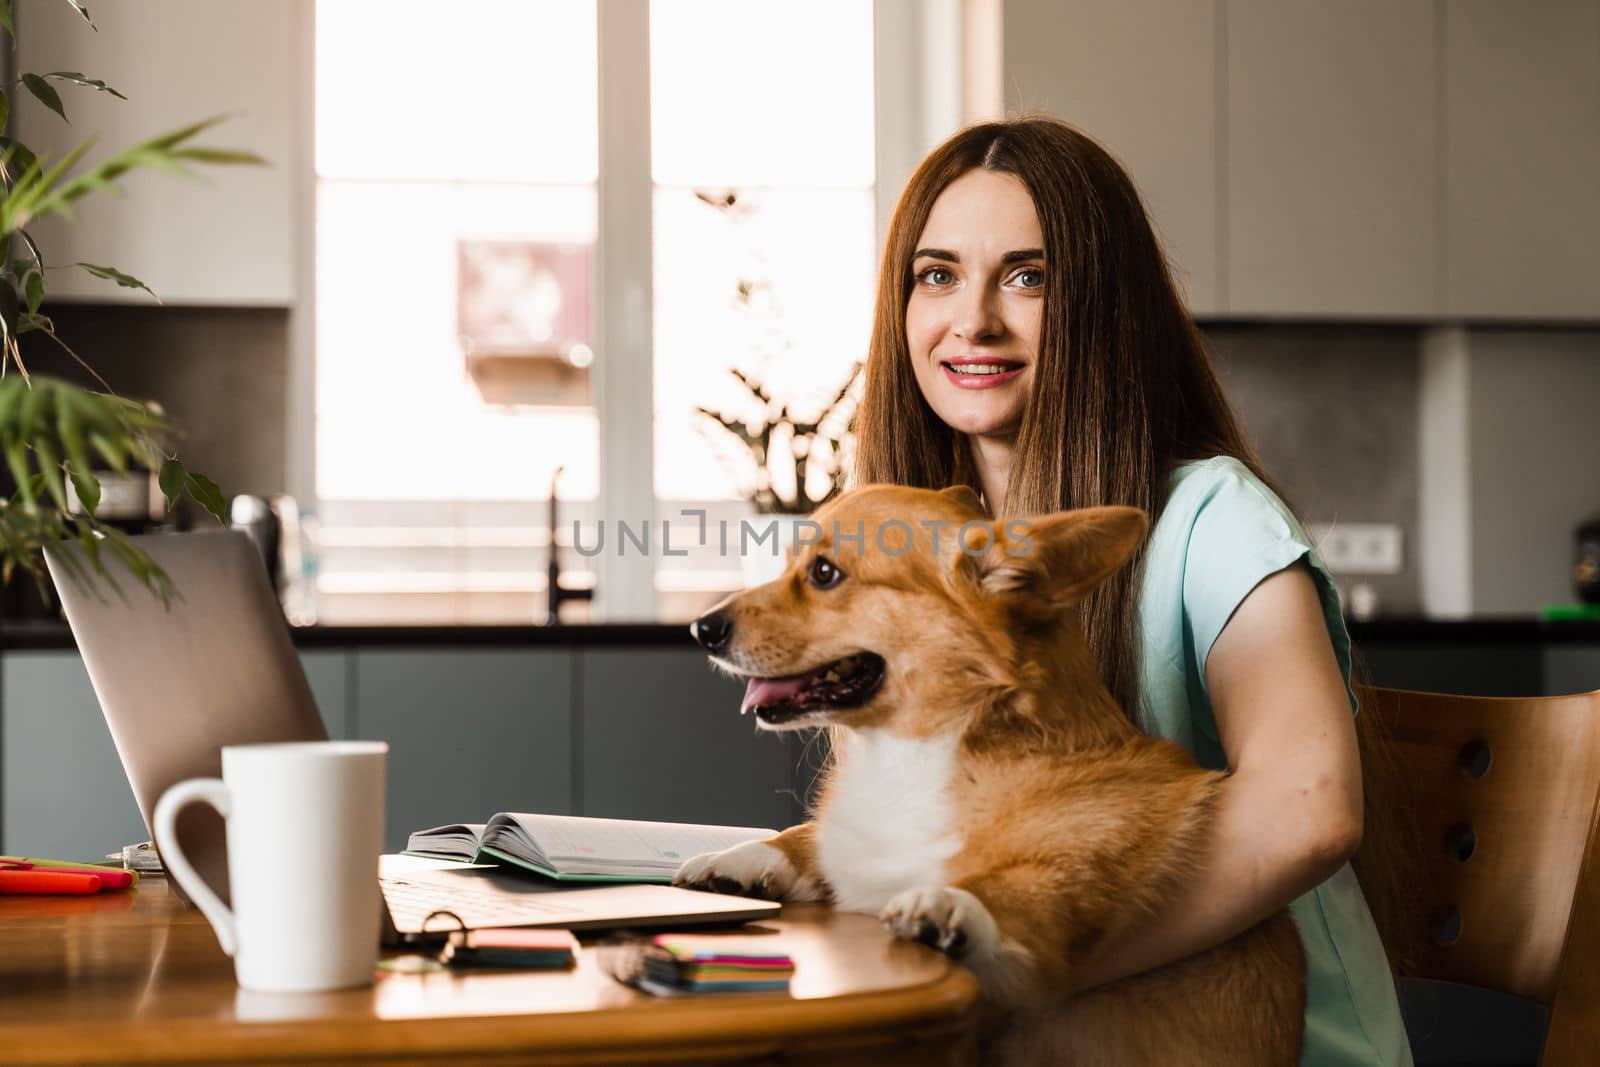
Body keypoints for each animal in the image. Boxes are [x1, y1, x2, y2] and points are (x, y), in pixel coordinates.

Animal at [672, 486, 1299, 1067]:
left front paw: (951, 906)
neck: (920, 751)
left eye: (825, 573)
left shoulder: (1079, 863)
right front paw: (740, 859)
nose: (701, 627)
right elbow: (804, 839)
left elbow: (1029, 887)